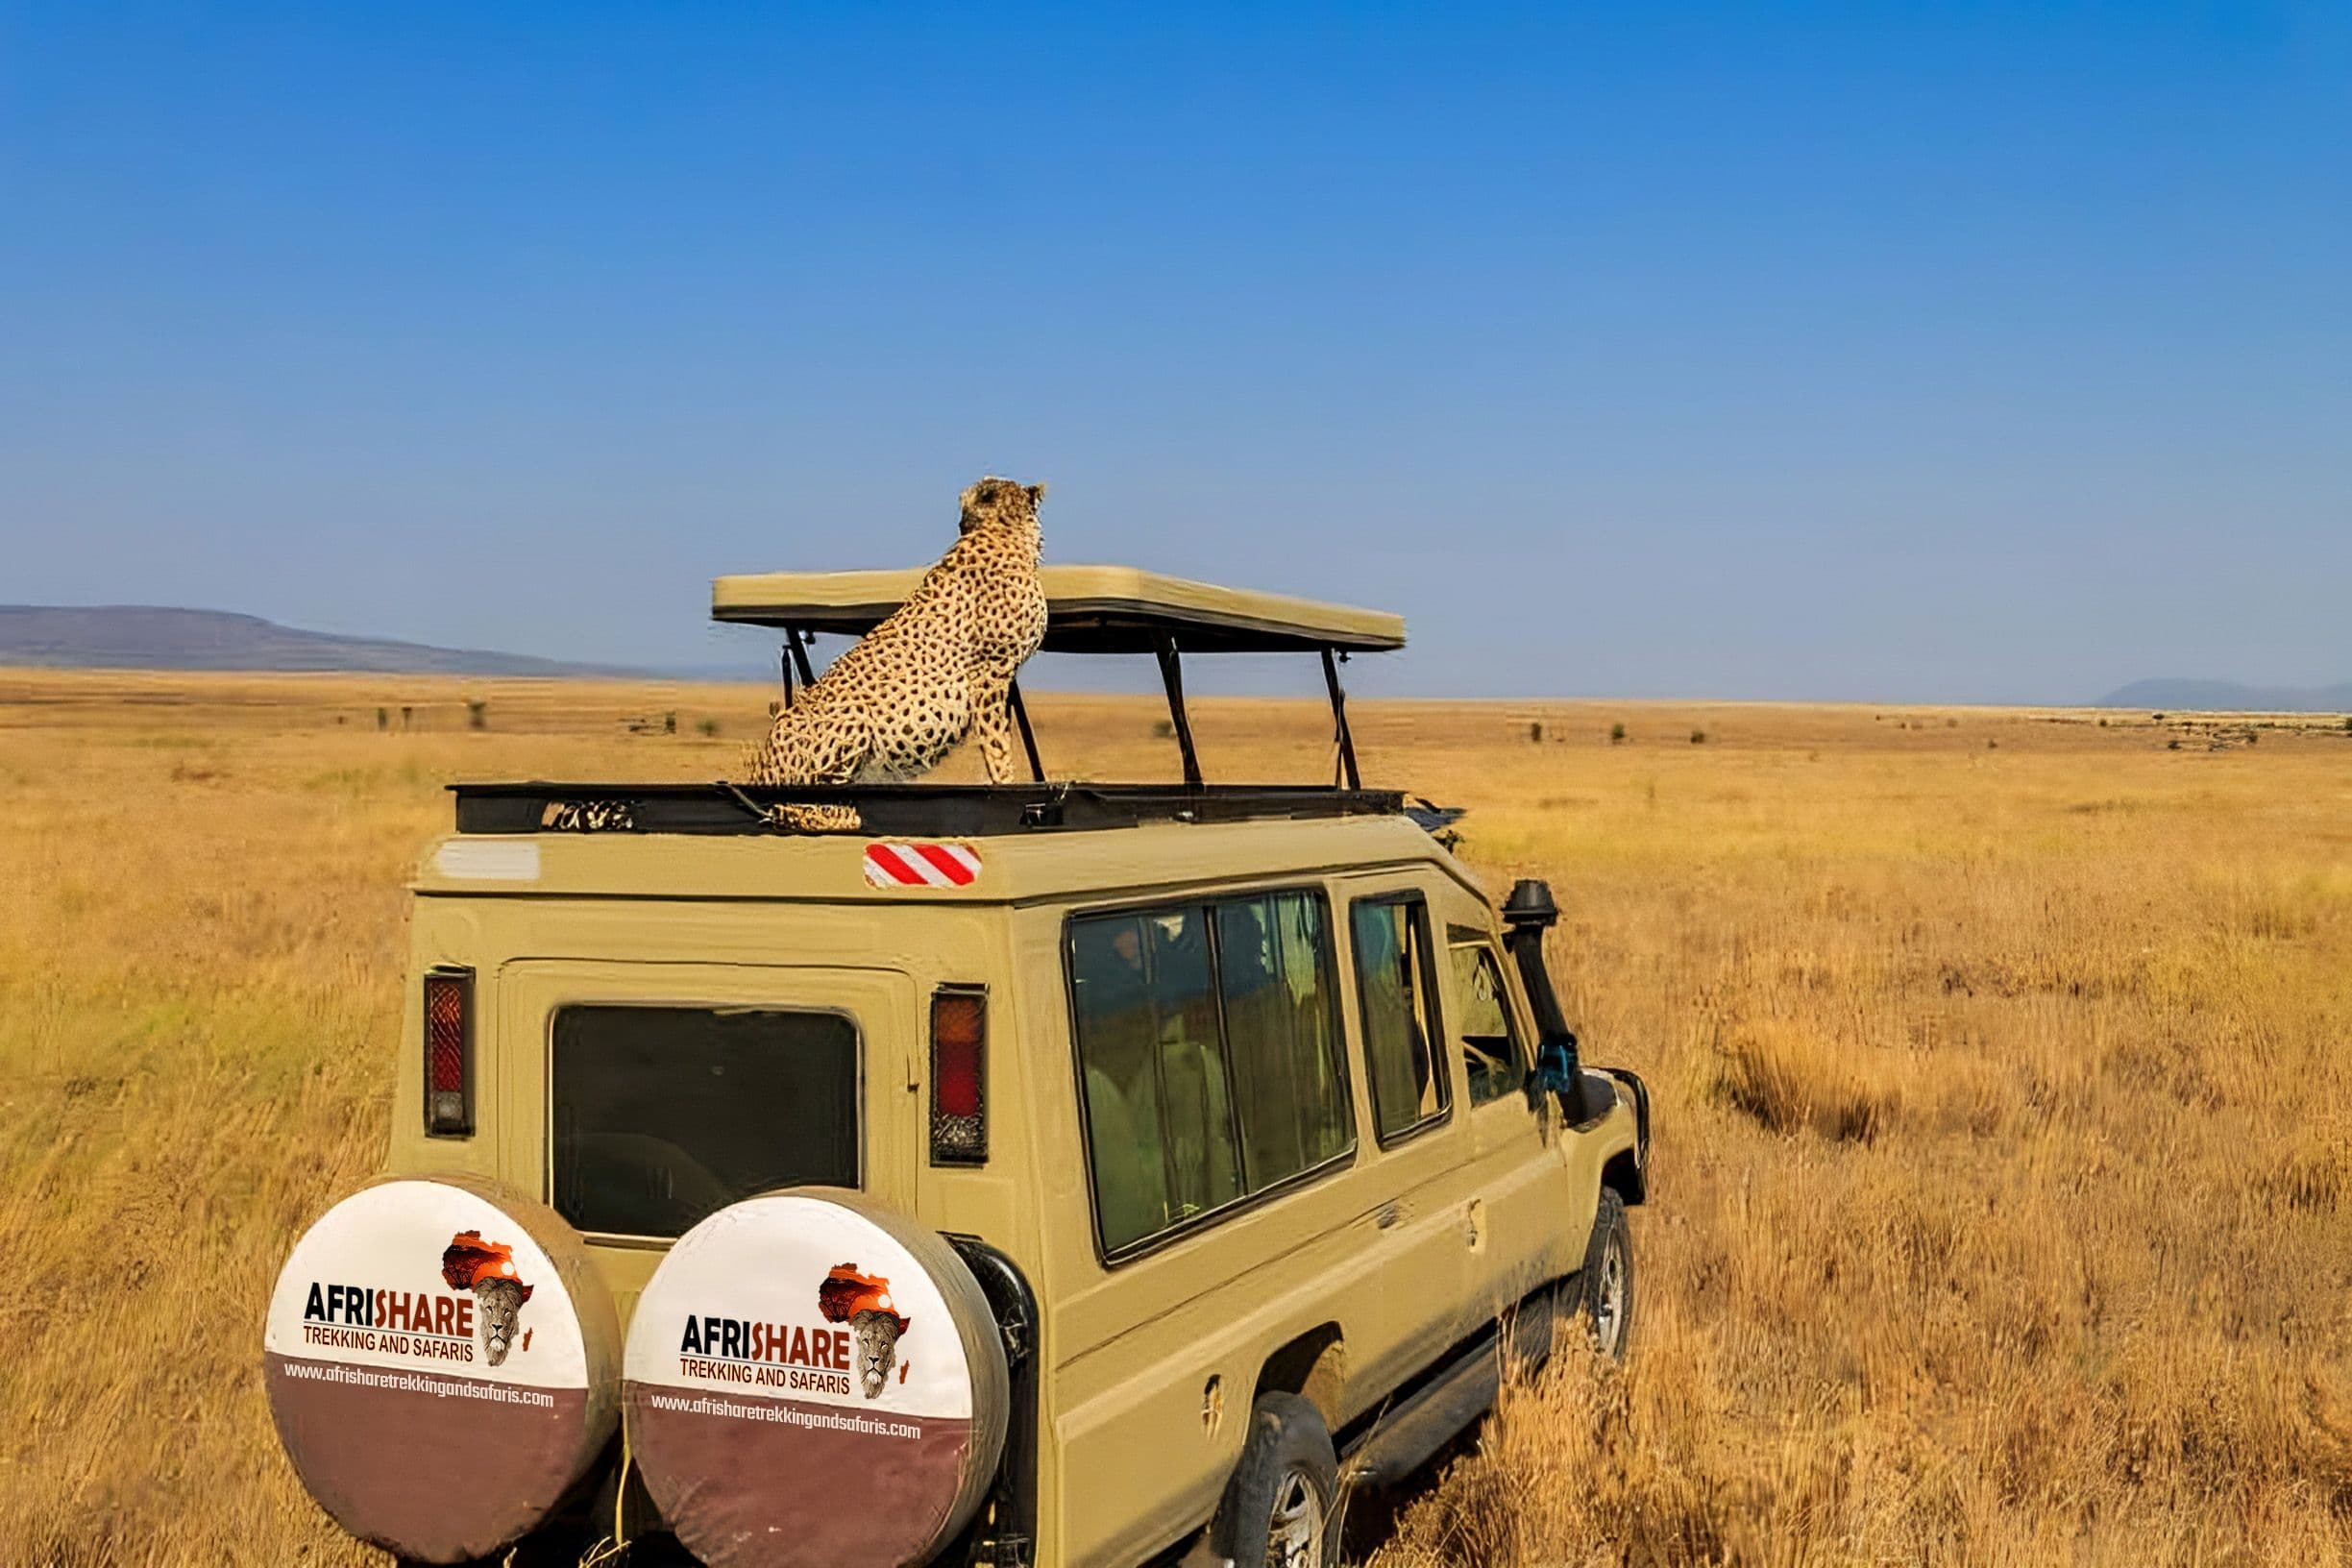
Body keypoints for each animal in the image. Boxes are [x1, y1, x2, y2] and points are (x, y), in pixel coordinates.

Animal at [743, 475, 1048, 832]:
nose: (960, 522)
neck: (1003, 529)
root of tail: (763, 766)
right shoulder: (991, 672)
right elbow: (997, 743)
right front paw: (1009, 785)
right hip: (852, 720)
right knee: (793, 804)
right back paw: (845, 816)